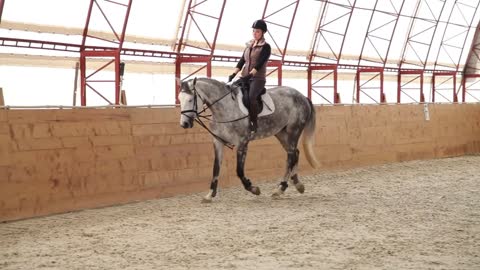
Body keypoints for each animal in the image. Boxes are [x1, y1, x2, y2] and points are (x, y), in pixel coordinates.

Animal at [178, 77, 316, 201]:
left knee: (291, 156)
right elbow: (216, 168)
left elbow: (239, 170)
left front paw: (253, 189)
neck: (225, 109)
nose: (184, 124)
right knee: (294, 153)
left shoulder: (242, 143)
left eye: (190, 99)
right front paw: (210, 194)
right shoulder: (218, 142)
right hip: (281, 133)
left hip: (294, 131)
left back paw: (280, 189)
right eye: (180, 99)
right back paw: (297, 184)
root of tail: (302, 96)